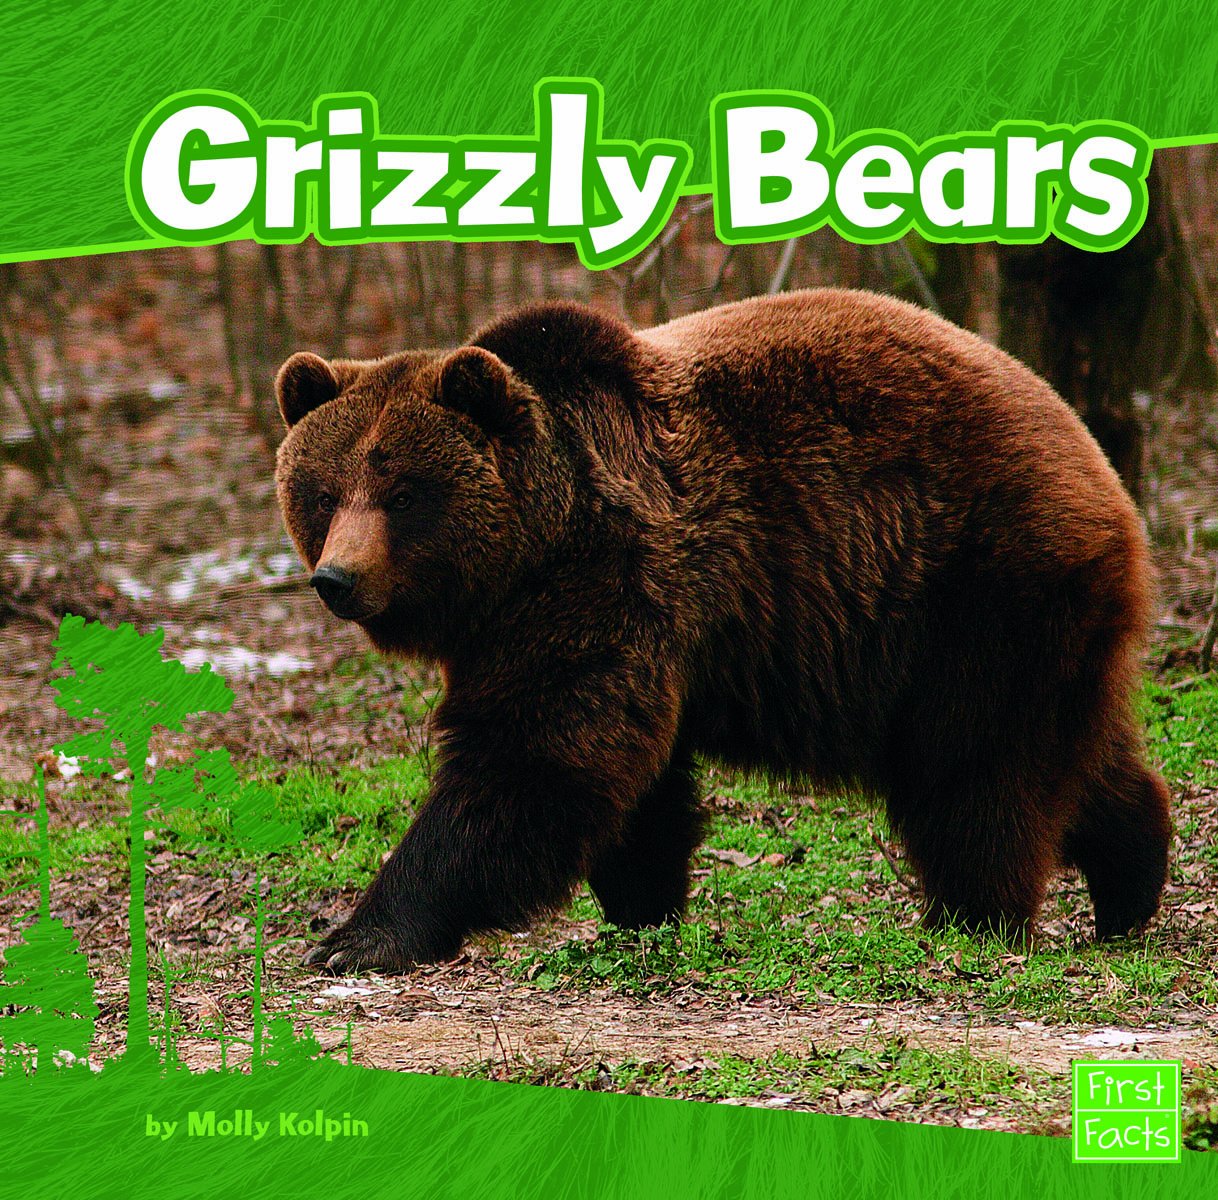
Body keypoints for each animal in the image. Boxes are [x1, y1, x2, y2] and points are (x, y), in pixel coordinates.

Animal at [273, 288, 1172, 975]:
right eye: (323, 492)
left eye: (403, 493)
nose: (337, 579)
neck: (530, 547)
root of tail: (1096, 463)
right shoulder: (613, 621)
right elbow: (631, 783)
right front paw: (642, 907)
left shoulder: (602, 581)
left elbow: (535, 758)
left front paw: (357, 935)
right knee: (1078, 755)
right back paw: (1131, 883)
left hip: (977, 584)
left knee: (975, 766)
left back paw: (973, 917)